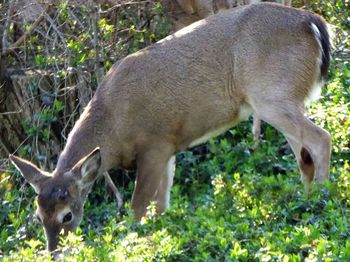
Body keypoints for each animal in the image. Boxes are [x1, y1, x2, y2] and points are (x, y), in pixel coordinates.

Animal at [8, 2, 330, 252]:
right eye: (38, 216)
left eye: (67, 216)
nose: (54, 252)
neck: (114, 126)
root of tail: (314, 23)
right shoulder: (169, 150)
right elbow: (162, 208)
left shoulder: (155, 144)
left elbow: (138, 209)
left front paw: (133, 246)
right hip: (282, 100)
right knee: (304, 157)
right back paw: (304, 200)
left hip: (271, 96)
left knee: (321, 138)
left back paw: (321, 200)